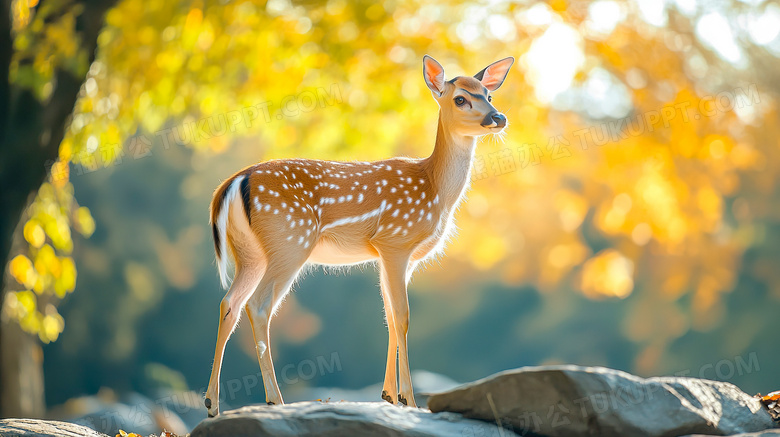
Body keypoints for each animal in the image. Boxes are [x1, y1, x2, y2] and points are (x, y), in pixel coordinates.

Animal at [204, 54, 516, 416]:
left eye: (489, 95)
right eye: (461, 99)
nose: (499, 117)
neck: (435, 190)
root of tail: (234, 182)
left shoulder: (392, 255)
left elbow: (389, 318)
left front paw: (389, 396)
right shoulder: (395, 241)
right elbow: (403, 317)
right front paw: (410, 401)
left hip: (250, 253)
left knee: (230, 302)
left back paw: (212, 403)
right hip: (290, 241)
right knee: (258, 305)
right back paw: (275, 400)